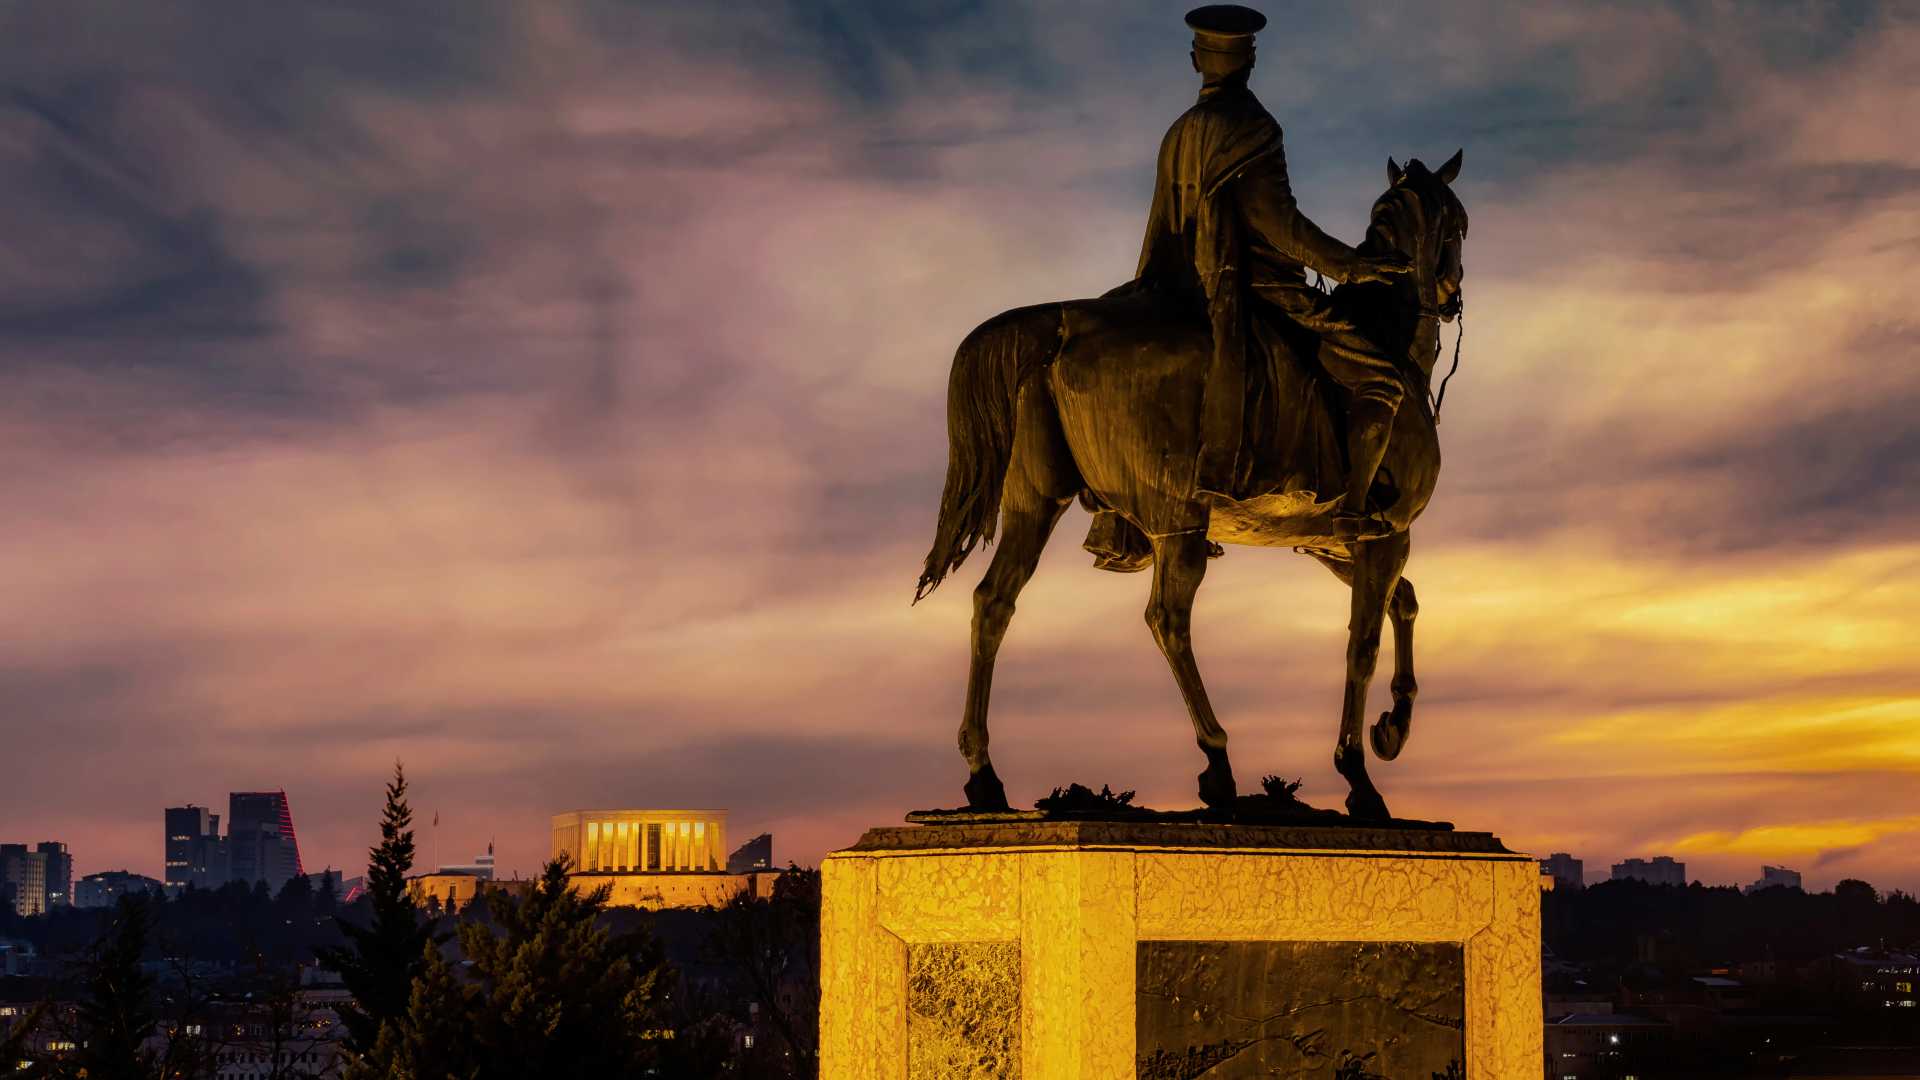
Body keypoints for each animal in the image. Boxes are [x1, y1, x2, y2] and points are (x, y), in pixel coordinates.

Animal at [913, 151, 1466, 818]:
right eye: (1460, 223)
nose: (1452, 294)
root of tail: (1062, 322)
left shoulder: (1331, 541)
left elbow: (1403, 602)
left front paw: (1392, 729)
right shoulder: (1386, 534)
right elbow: (1363, 642)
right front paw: (1359, 776)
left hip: (1034, 504)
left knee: (994, 603)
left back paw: (984, 775)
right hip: (1177, 520)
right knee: (1167, 619)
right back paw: (1218, 762)